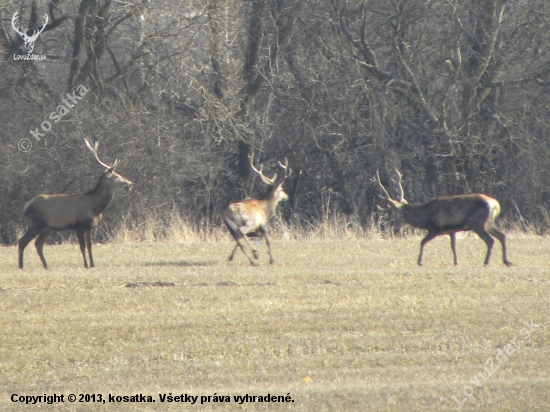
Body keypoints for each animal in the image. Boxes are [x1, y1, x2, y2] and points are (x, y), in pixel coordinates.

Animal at [18, 140, 133, 268]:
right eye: (116, 176)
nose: (130, 183)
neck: (94, 208)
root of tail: (26, 206)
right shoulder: (79, 225)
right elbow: (82, 246)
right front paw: (86, 265)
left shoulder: (89, 227)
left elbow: (90, 246)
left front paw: (93, 264)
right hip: (35, 224)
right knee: (22, 241)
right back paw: (21, 266)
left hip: (47, 228)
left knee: (38, 244)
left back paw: (46, 265)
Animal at [376, 168, 512, 268]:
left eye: (397, 214)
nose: (395, 230)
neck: (425, 218)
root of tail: (495, 204)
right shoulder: (452, 230)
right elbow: (453, 246)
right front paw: (456, 262)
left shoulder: (435, 228)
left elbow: (422, 242)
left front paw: (419, 262)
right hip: (489, 223)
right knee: (501, 236)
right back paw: (507, 261)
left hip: (477, 223)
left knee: (491, 240)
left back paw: (486, 262)